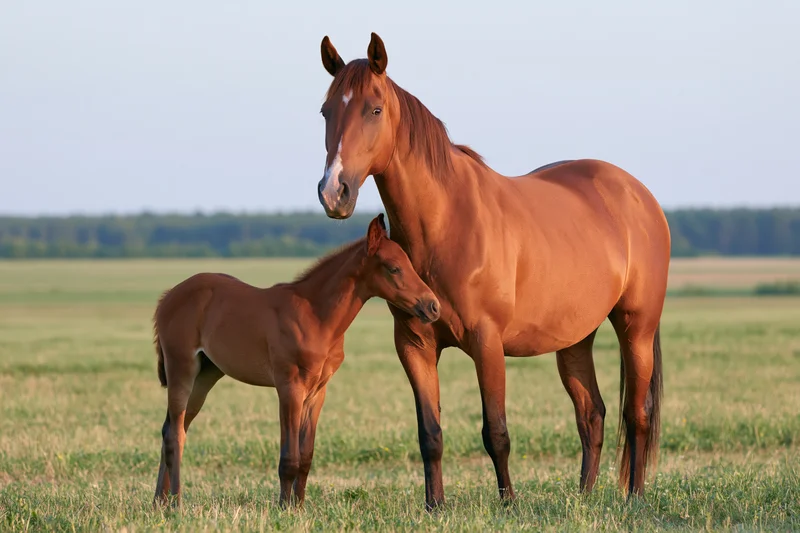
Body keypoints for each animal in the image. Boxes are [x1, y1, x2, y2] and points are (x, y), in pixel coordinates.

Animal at [151, 214, 440, 508]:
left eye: (409, 264)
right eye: (394, 268)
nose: (433, 306)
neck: (316, 316)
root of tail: (167, 297)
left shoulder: (317, 392)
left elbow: (306, 455)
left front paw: (298, 506)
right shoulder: (290, 387)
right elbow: (289, 457)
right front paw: (283, 507)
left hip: (205, 376)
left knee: (172, 429)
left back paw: (159, 501)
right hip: (182, 369)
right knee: (175, 434)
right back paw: (175, 502)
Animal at [315, 33, 670, 509]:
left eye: (374, 109)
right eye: (326, 111)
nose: (333, 192)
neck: (446, 220)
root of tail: (639, 194)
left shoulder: (487, 342)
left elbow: (496, 431)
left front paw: (508, 503)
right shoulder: (413, 344)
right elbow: (430, 433)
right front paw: (435, 506)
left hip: (637, 328)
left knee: (637, 413)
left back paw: (634, 497)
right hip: (576, 338)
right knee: (591, 414)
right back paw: (584, 497)